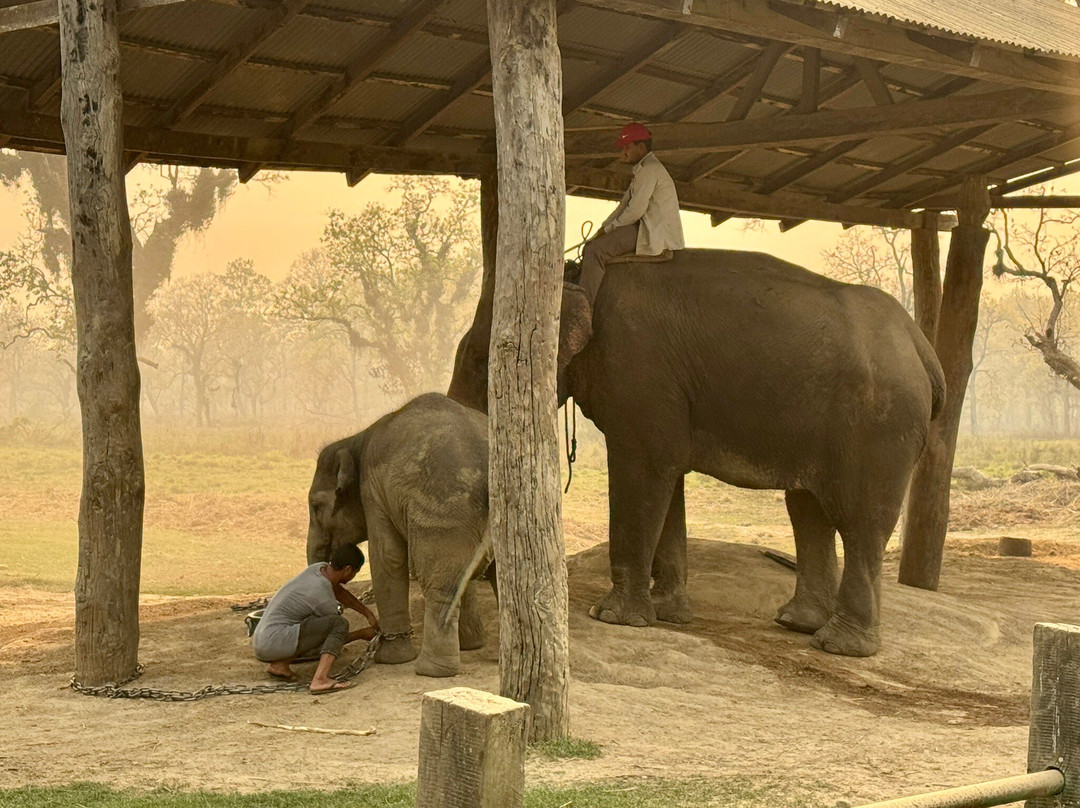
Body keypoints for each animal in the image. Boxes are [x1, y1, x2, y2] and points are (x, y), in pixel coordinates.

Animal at [306, 393, 492, 677]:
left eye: (315, 507)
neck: (358, 438)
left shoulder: (373, 492)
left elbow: (386, 556)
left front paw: (391, 659)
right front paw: (471, 646)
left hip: (442, 510)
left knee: (440, 584)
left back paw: (431, 670)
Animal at [449, 249, 945, 657]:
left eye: (481, 359)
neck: (575, 276)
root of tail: (922, 346)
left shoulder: (640, 374)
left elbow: (642, 470)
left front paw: (611, 617)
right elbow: (667, 481)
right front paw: (668, 614)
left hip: (878, 429)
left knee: (860, 523)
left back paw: (838, 646)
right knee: (808, 510)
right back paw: (796, 623)